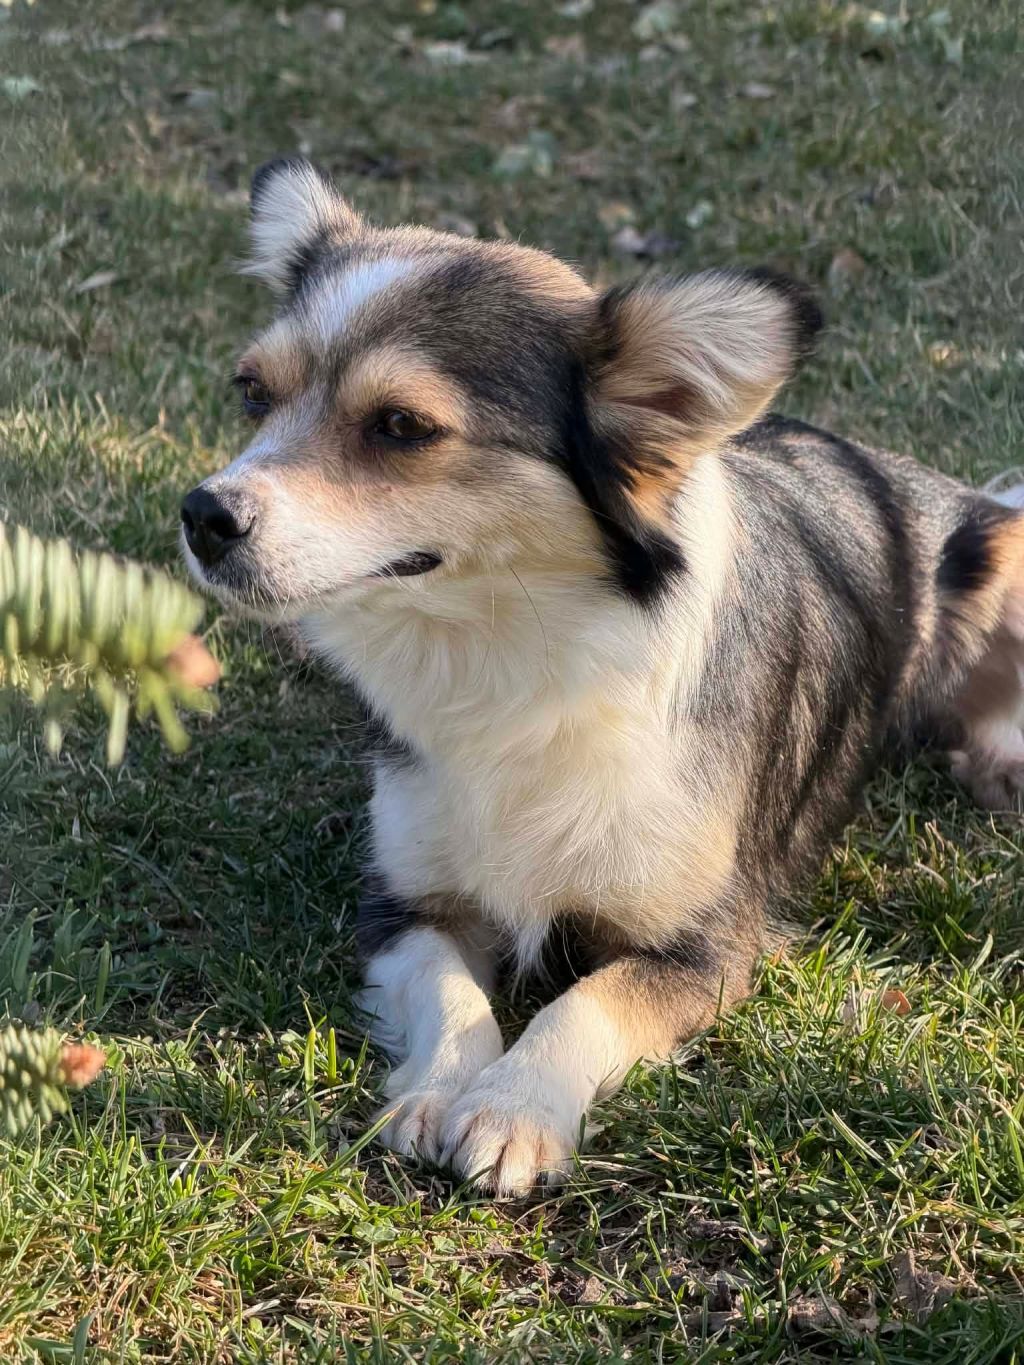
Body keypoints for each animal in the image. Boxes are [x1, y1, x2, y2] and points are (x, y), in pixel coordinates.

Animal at [182, 157, 1024, 1197]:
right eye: (253, 393)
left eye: (402, 425)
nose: (202, 515)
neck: (505, 647)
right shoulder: (404, 904)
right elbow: (452, 992)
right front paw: (440, 1089)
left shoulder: (707, 944)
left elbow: (584, 1000)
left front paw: (513, 1108)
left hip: (996, 548)